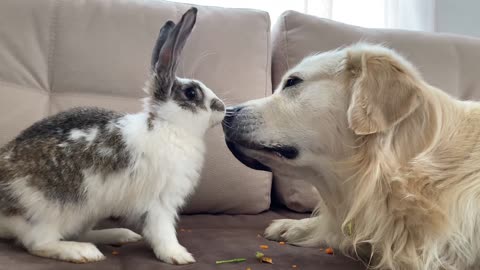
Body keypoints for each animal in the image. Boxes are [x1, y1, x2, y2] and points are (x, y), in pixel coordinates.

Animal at [0, 7, 223, 264]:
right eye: (191, 93)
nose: (222, 107)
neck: (167, 125)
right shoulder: (159, 201)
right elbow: (162, 231)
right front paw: (178, 256)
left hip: (87, 213)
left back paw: (121, 235)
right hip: (50, 209)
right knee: (39, 243)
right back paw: (84, 251)